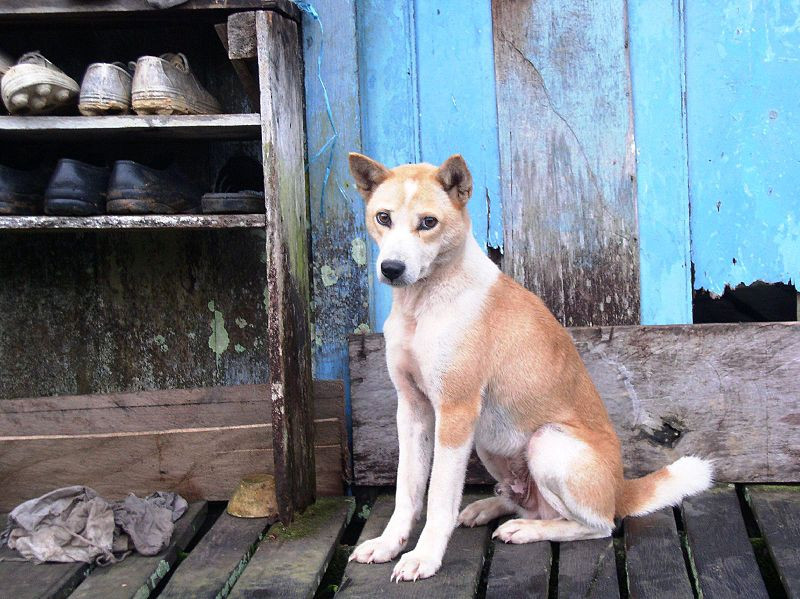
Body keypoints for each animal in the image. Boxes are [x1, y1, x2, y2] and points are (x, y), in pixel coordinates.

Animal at [346, 154, 716, 580]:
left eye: (428, 222)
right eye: (383, 217)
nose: (391, 268)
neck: (424, 302)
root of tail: (621, 489)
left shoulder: (455, 412)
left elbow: (439, 494)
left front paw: (424, 557)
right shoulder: (412, 410)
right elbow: (407, 489)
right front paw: (389, 544)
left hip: (546, 443)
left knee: (596, 525)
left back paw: (526, 529)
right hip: (490, 441)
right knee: (530, 503)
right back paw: (489, 507)